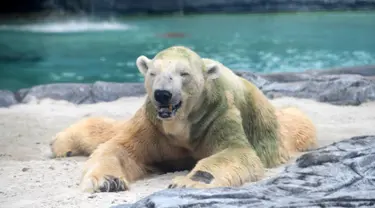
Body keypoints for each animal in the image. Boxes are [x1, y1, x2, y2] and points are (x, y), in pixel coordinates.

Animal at [50, 46, 318, 193]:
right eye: (153, 72)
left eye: (184, 74)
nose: (162, 94)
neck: (180, 122)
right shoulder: (152, 124)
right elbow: (120, 148)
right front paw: (108, 181)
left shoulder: (217, 115)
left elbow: (237, 153)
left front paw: (185, 183)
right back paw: (59, 143)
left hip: (283, 129)